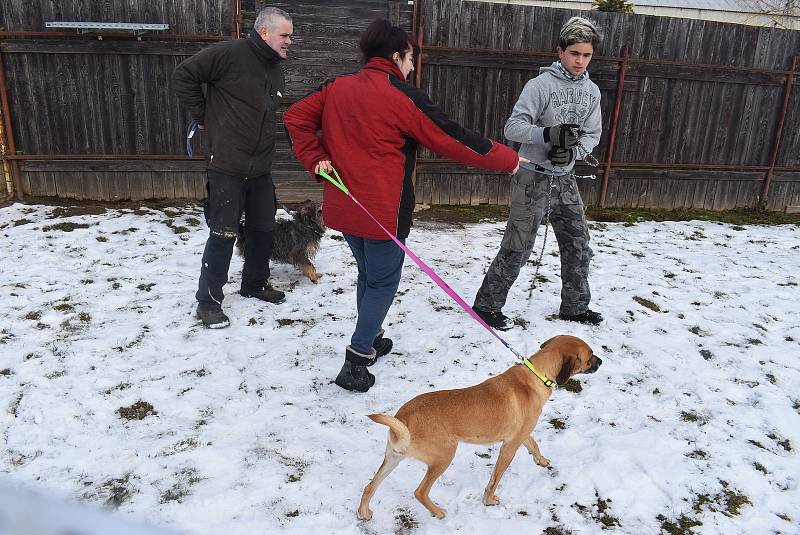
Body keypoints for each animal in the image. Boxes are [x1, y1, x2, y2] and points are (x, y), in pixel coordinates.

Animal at [356, 336, 600, 520]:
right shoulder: (509, 447)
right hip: (443, 457)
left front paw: (541, 460)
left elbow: (534, 444)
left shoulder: (521, 435)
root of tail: (403, 419)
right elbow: (494, 480)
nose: (602, 362)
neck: (537, 374)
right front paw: (489, 501)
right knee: (420, 492)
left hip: (393, 458)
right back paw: (438, 512)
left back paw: (364, 513)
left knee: (369, 486)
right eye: (589, 356)